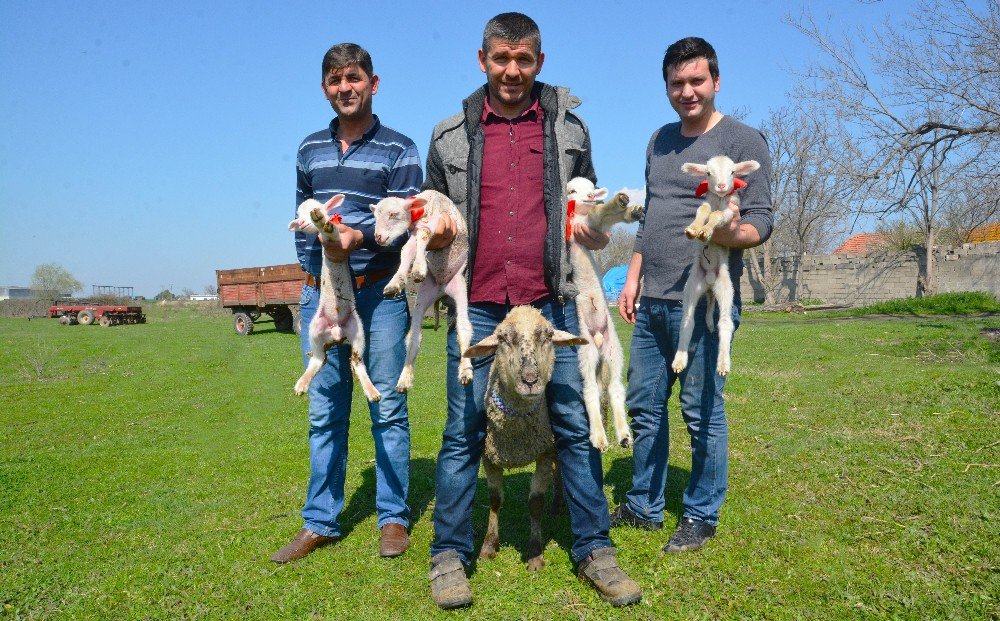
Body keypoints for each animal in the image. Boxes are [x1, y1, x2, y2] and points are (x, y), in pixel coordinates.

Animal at [292, 196, 384, 404]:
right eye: (298, 215)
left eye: (318, 207)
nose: (302, 223)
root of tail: (336, 333)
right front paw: (321, 223)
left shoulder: (337, 239)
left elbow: (333, 234)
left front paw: (322, 221)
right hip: (314, 329)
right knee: (318, 359)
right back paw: (302, 385)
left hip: (357, 331)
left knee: (357, 362)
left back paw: (372, 392)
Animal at [370, 189, 474, 392]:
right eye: (375, 216)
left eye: (393, 214)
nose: (378, 237)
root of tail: (442, 289)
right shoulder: (413, 233)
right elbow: (406, 251)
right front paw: (395, 283)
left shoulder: (437, 223)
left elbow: (423, 236)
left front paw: (418, 268)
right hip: (424, 295)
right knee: (414, 337)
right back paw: (404, 378)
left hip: (459, 286)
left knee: (464, 329)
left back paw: (465, 371)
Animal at [564, 176, 640, 450]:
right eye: (571, 190)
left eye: (592, 190)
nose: (589, 198)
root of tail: (597, 338)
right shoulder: (579, 226)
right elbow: (598, 214)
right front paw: (619, 202)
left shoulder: (591, 227)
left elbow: (602, 217)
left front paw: (630, 209)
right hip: (585, 351)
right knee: (590, 391)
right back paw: (599, 436)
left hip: (613, 348)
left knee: (615, 388)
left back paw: (624, 435)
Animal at [672, 155, 756, 378]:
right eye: (708, 173)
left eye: (733, 172)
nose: (721, 186)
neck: (718, 199)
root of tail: (710, 280)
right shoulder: (706, 203)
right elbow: (703, 210)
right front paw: (694, 229)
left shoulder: (730, 212)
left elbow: (717, 216)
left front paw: (706, 231)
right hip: (693, 284)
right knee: (688, 319)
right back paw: (679, 360)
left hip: (725, 286)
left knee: (725, 322)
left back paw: (723, 364)